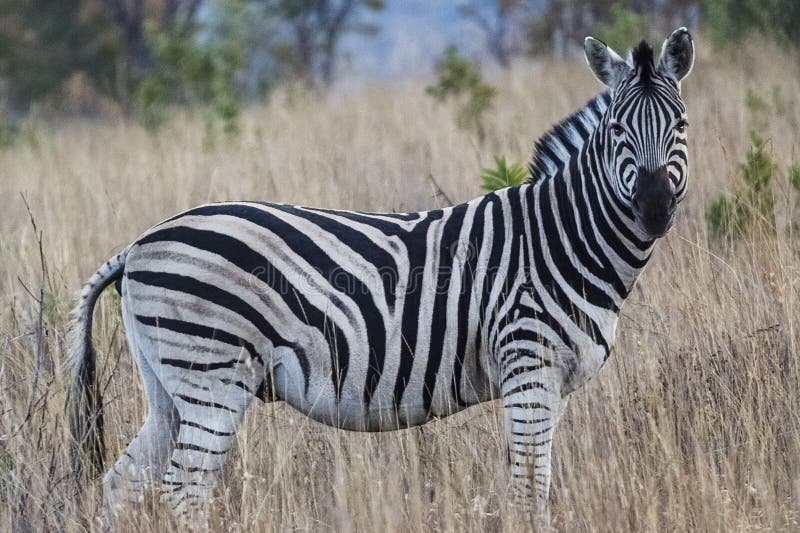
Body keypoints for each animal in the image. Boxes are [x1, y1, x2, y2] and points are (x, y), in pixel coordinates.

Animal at [70, 27, 692, 524]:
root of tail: (138, 245)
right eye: (617, 130)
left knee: (122, 482)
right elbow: (527, 491)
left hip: (170, 386)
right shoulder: (528, 367)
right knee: (184, 490)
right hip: (213, 378)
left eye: (681, 125)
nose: (654, 207)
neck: (560, 238)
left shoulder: (552, 384)